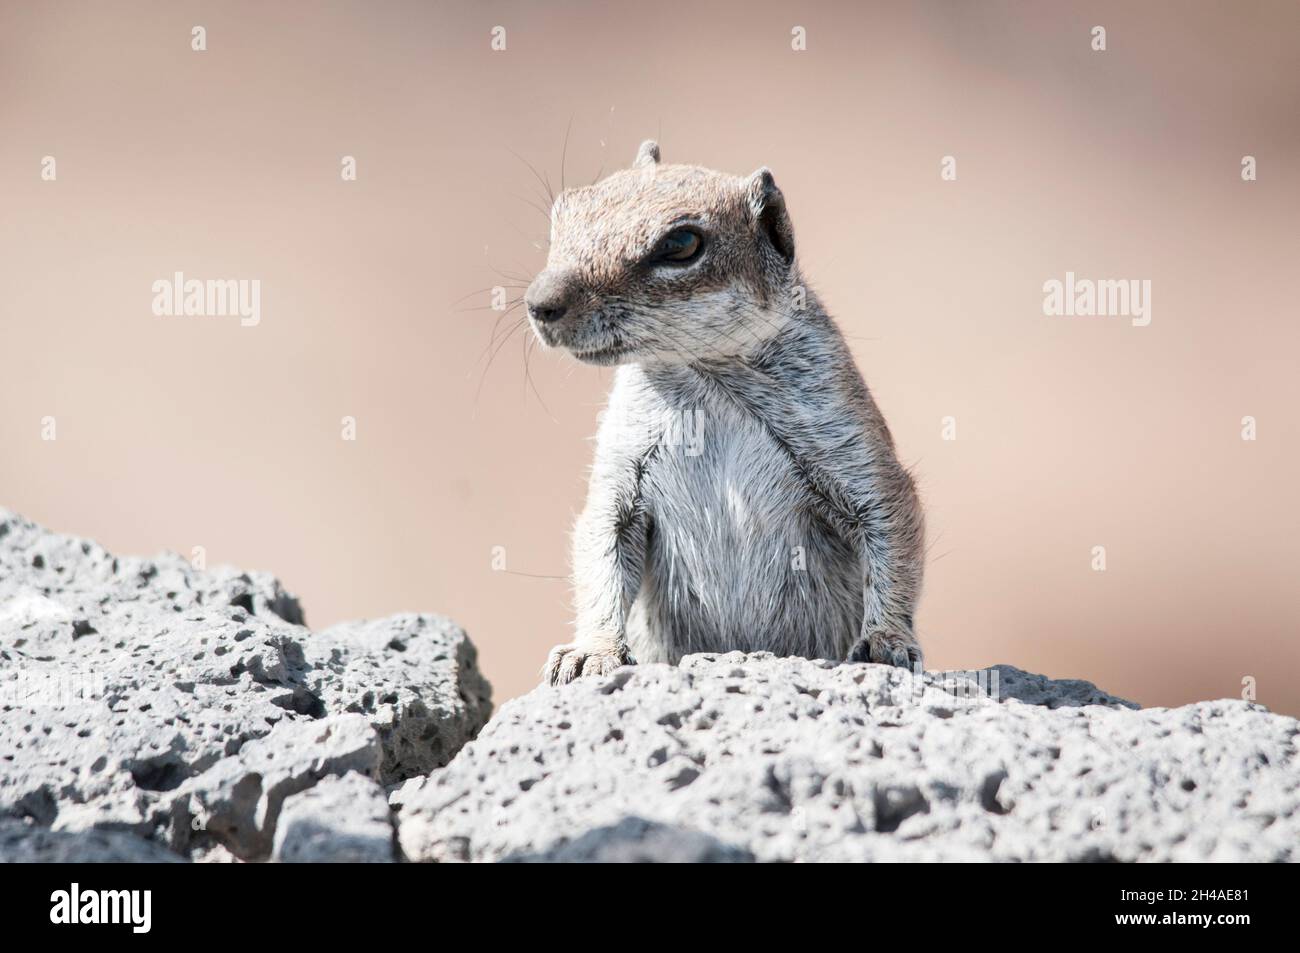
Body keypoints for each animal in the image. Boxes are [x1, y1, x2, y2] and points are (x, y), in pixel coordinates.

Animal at [527, 141, 925, 685]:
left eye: (681, 244)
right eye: (563, 212)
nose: (539, 303)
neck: (706, 380)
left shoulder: (852, 448)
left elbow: (892, 528)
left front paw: (888, 640)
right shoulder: (620, 472)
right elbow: (599, 549)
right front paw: (591, 650)